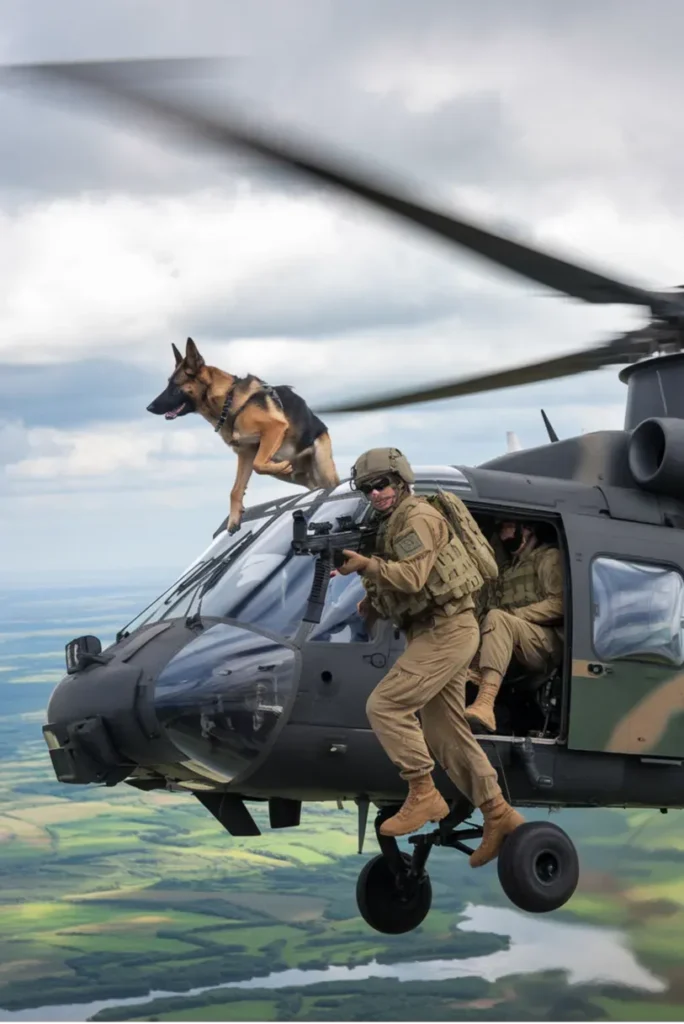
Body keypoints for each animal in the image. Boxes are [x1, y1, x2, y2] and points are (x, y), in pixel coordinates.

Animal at [146, 337, 339, 532]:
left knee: (330, 486)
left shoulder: (274, 429)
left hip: (323, 467)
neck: (228, 401)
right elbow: (236, 489)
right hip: (297, 477)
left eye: (174, 387)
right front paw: (234, 517)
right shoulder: (246, 452)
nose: (149, 408)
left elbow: (258, 464)